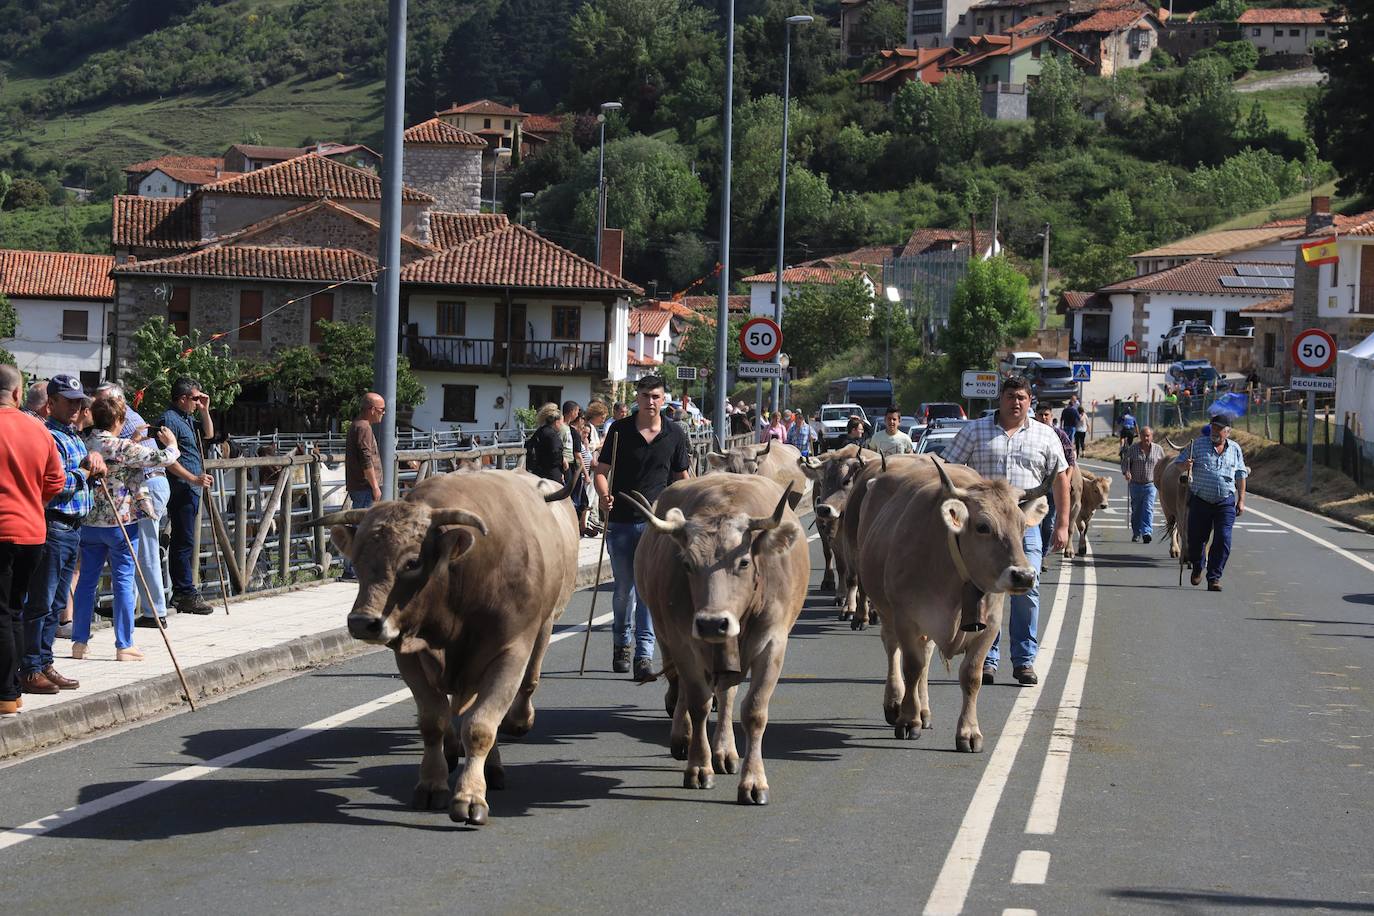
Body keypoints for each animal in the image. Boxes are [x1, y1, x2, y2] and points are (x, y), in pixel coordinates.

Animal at [318, 469, 577, 829]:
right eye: (356, 559)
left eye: (412, 561)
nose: (361, 622)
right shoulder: (409, 656)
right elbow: (434, 721)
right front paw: (432, 784)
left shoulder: (510, 653)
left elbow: (481, 726)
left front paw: (470, 797)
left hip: (544, 626)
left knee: (523, 685)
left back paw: (505, 743)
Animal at [629, 477, 807, 807]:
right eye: (687, 563)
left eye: (744, 561)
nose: (712, 622)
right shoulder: (683, 642)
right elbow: (698, 702)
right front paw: (699, 767)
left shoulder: (772, 643)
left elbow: (754, 711)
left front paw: (753, 781)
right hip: (664, 634)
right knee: (682, 687)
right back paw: (683, 737)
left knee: (726, 694)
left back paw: (725, 751)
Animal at [802, 444, 873, 590]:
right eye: (821, 480)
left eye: (846, 481)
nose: (823, 509)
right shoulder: (828, 530)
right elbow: (839, 563)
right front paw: (839, 590)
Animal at [857, 458, 1049, 752]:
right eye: (983, 526)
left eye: (1021, 525)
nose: (1024, 576)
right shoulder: (906, 618)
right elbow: (911, 667)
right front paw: (908, 720)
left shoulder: (989, 626)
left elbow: (971, 676)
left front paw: (968, 732)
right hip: (887, 611)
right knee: (893, 649)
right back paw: (895, 704)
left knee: (925, 655)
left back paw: (924, 710)